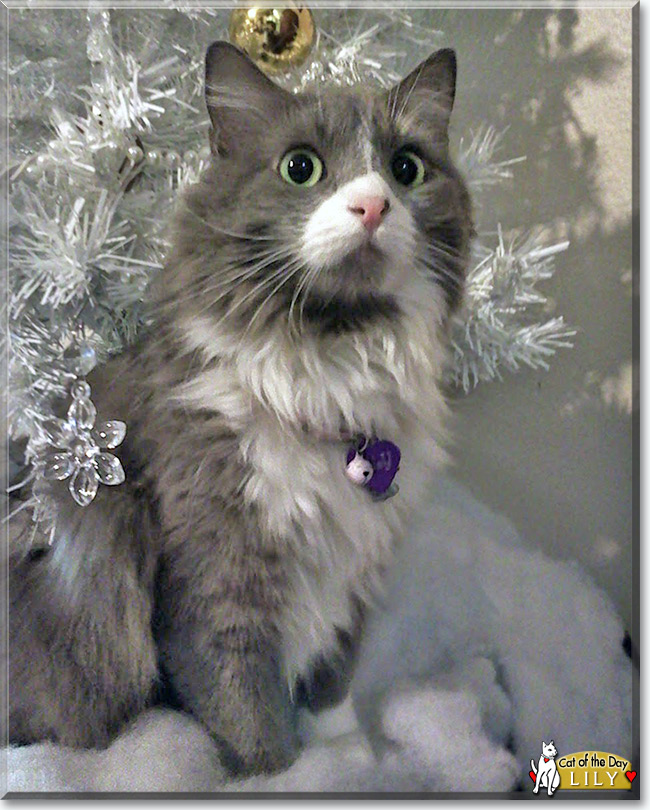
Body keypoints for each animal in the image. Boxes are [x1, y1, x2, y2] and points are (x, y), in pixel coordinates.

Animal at [7, 41, 468, 772]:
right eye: (301, 167)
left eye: (406, 168)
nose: (372, 205)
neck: (331, 367)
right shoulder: (220, 590)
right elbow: (255, 729)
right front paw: (296, 778)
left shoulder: (352, 576)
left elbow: (332, 695)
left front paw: (356, 762)